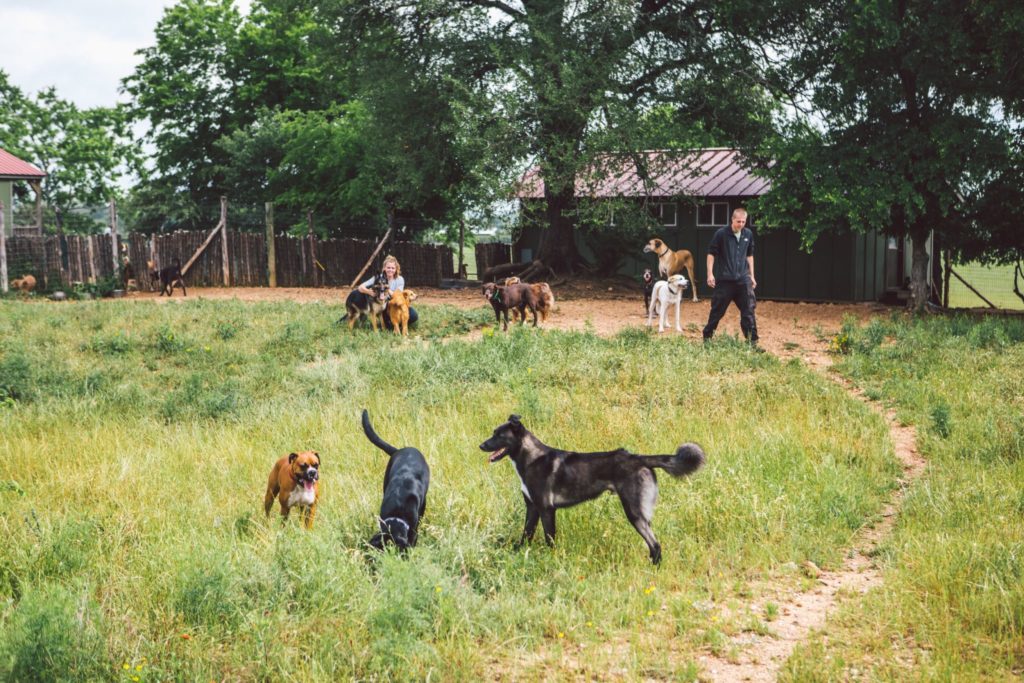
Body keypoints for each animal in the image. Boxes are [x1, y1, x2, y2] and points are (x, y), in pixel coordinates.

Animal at [477, 413, 704, 565]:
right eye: (493, 432)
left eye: (499, 435)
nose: (481, 446)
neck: (530, 458)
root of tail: (639, 458)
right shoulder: (532, 507)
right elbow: (526, 535)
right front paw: (518, 554)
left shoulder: (546, 509)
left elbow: (550, 539)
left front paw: (550, 560)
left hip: (634, 511)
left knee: (655, 544)